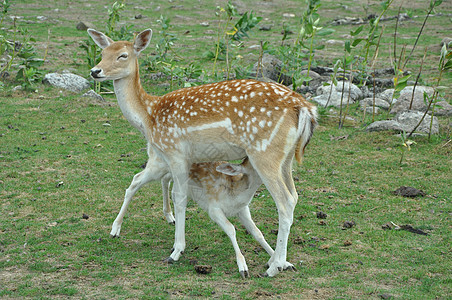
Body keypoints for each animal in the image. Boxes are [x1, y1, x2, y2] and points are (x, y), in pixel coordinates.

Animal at [86, 28, 316, 276]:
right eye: (102, 52)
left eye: (123, 55)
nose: (95, 71)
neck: (148, 117)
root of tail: (305, 109)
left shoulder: (175, 152)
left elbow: (180, 197)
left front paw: (176, 250)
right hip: (286, 158)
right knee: (294, 196)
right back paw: (283, 261)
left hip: (264, 153)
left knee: (284, 202)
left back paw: (274, 267)